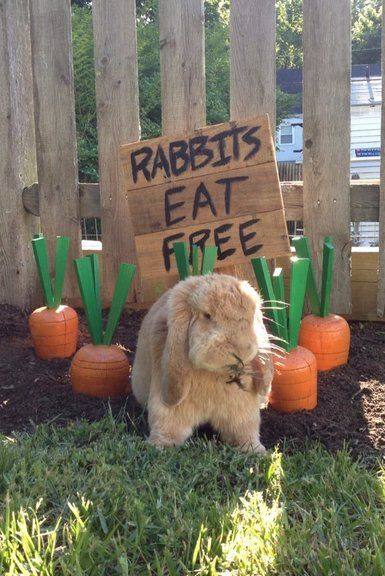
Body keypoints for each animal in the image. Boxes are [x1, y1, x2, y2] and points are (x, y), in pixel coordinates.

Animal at [131, 272, 272, 452]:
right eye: (207, 315)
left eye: (252, 316)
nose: (242, 349)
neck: (214, 374)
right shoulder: (167, 410)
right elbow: (168, 428)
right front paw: (159, 446)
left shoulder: (242, 412)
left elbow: (244, 432)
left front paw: (256, 451)